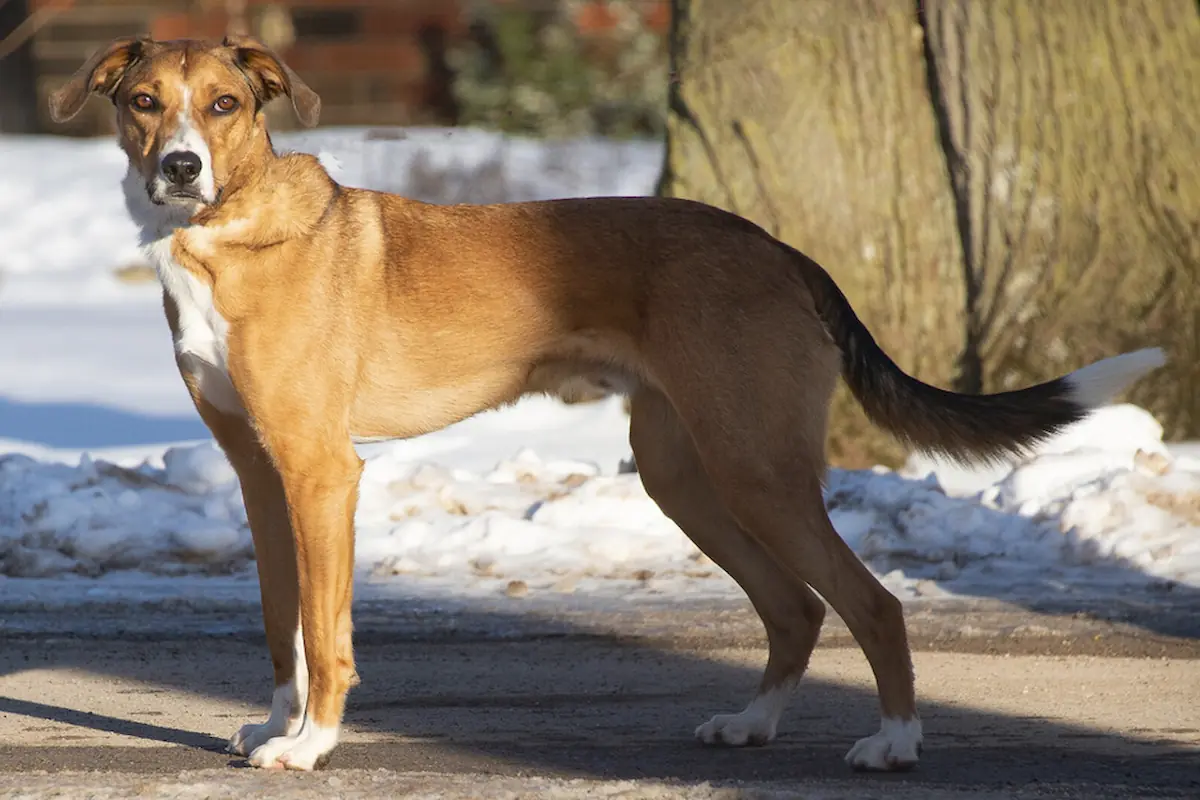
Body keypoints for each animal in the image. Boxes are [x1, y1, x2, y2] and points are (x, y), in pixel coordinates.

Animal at [49, 35, 1161, 767]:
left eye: (223, 106)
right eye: (143, 100)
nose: (178, 167)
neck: (224, 235)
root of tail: (777, 249)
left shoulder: (322, 472)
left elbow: (325, 632)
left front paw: (314, 743)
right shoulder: (258, 473)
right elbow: (282, 620)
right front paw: (278, 725)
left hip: (754, 467)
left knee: (872, 602)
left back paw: (893, 741)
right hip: (686, 473)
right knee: (798, 606)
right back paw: (755, 724)